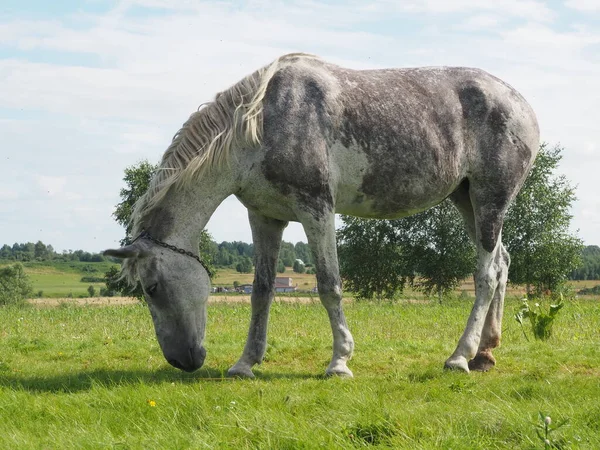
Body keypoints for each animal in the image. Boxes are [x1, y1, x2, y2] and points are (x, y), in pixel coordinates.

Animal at [105, 51, 540, 376]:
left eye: (152, 287)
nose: (183, 361)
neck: (262, 125)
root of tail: (521, 104)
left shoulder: (317, 210)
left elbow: (329, 285)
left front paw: (339, 362)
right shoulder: (265, 217)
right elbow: (261, 291)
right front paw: (246, 363)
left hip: (489, 200)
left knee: (486, 276)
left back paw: (459, 357)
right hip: (467, 202)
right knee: (502, 264)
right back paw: (485, 353)